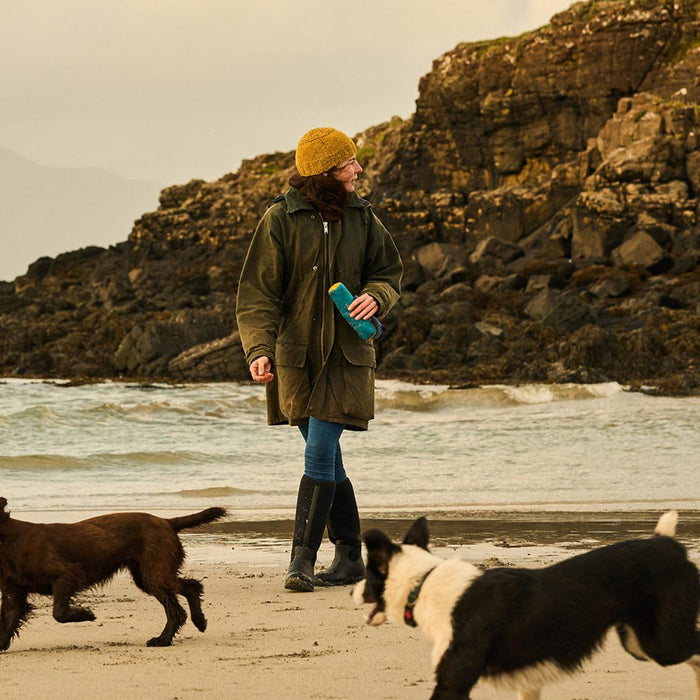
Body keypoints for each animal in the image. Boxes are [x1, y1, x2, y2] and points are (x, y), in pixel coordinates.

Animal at [0, 498, 226, 652]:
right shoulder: (13, 594)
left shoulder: (67, 574)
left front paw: (86, 614)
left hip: (153, 575)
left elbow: (59, 613)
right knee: (191, 587)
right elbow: (9, 620)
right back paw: (200, 622)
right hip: (147, 575)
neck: (10, 540)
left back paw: (162, 640)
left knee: (176, 610)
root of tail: (167, 521)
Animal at [352, 512, 700, 696]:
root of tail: (668, 542)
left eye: (368, 575)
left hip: (661, 644)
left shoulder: (453, 681)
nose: (351, 591)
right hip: (637, 642)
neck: (424, 582)